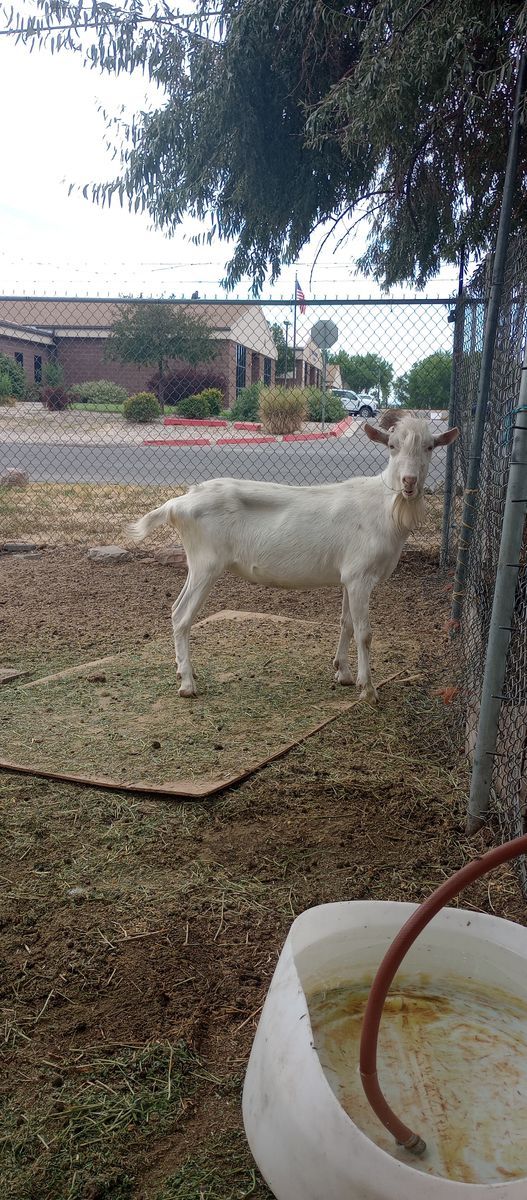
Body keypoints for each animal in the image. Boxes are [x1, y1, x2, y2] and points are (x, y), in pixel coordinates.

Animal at [127, 416, 459, 700]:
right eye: (391, 446)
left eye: (430, 446)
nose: (409, 481)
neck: (385, 507)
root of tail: (178, 502)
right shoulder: (361, 576)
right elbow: (364, 632)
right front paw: (368, 689)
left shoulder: (348, 577)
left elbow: (346, 623)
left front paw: (343, 673)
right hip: (206, 564)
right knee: (182, 615)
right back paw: (187, 683)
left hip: (197, 563)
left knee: (174, 610)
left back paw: (185, 672)